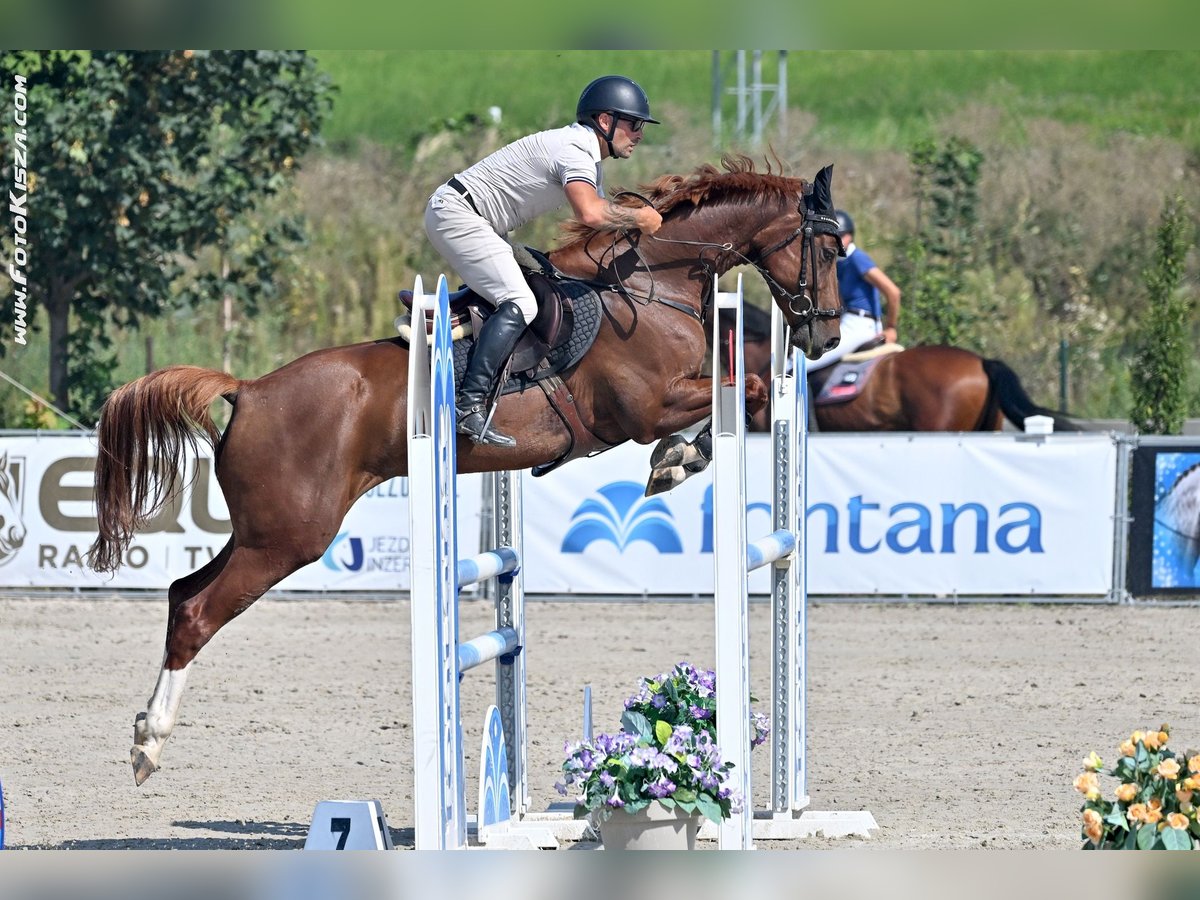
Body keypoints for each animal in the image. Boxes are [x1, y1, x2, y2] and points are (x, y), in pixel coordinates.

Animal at [86, 157, 846, 785]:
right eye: (829, 249)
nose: (827, 336)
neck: (650, 284)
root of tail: (249, 389)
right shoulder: (644, 406)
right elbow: (747, 391)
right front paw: (676, 460)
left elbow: (743, 395)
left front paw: (677, 460)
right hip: (289, 537)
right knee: (197, 613)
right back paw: (149, 744)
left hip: (264, 532)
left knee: (182, 593)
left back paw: (145, 730)